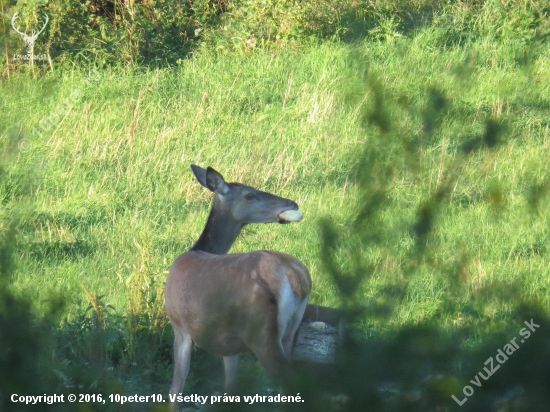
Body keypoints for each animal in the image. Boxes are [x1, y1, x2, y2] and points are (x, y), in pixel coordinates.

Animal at [165, 164, 310, 408]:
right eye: (250, 194)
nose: (292, 203)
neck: (199, 249)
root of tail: (294, 275)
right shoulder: (228, 343)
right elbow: (230, 387)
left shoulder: (180, 326)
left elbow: (176, 388)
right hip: (290, 332)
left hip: (260, 334)